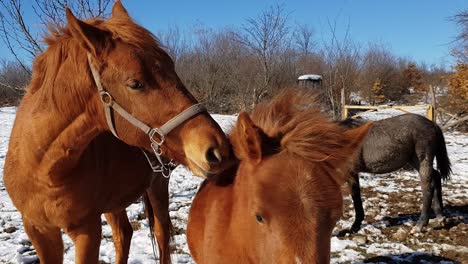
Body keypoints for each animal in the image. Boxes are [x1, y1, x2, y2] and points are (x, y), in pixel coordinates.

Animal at [2, 1, 231, 262]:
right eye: (135, 83)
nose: (218, 148)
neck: (43, 167)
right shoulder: (39, 230)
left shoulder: (87, 230)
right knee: (124, 233)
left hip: (158, 185)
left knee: (161, 234)